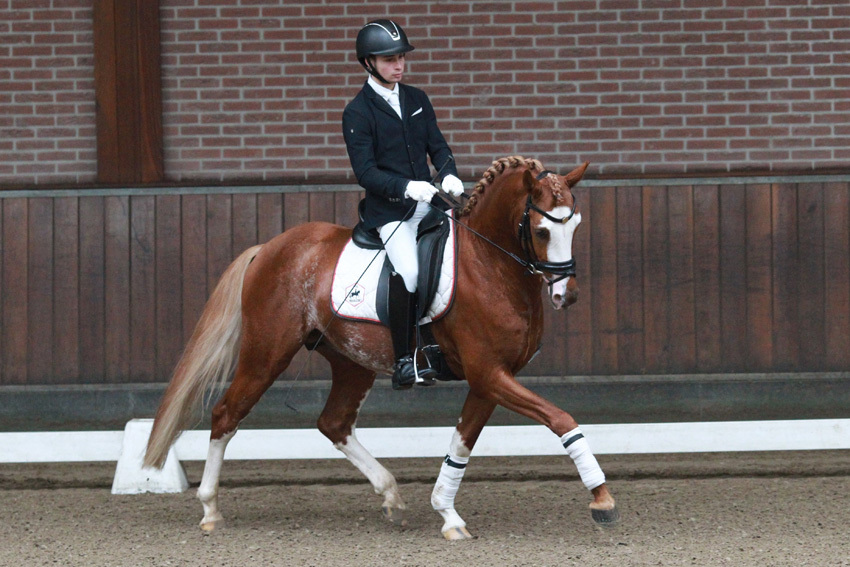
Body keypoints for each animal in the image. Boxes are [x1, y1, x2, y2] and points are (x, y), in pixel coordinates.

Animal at [143, 155, 618, 540]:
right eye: (541, 229)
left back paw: (390, 495)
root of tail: (269, 249)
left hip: (352, 361)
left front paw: (447, 514)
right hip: (266, 354)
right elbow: (560, 418)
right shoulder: (488, 373)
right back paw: (210, 509)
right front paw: (602, 499)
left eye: (575, 226)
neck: (490, 264)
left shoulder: (492, 379)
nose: (567, 296)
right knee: (226, 414)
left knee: (334, 422)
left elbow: (461, 444)